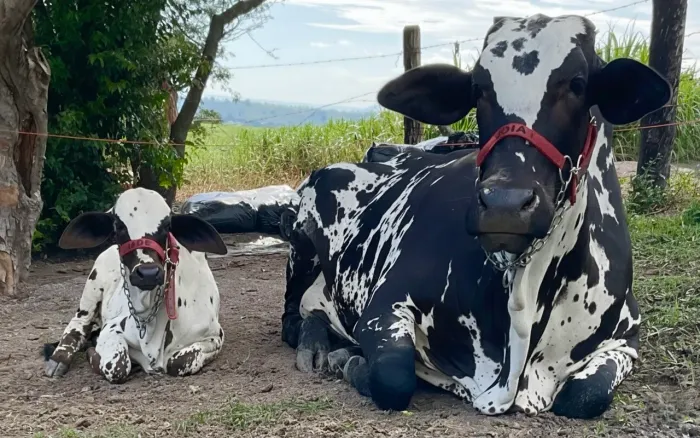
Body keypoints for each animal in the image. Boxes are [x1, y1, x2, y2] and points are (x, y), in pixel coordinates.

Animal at [43, 187, 228, 383]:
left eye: (167, 226)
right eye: (118, 226)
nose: (148, 273)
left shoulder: (214, 336)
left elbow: (178, 363)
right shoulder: (112, 328)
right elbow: (117, 367)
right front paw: (93, 354)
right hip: (91, 289)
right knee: (77, 325)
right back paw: (59, 359)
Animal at [280, 14, 671, 419]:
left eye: (578, 84)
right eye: (478, 88)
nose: (505, 204)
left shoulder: (625, 337)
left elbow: (584, 395)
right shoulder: (384, 305)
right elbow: (394, 378)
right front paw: (350, 360)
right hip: (300, 241)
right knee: (294, 315)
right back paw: (316, 344)